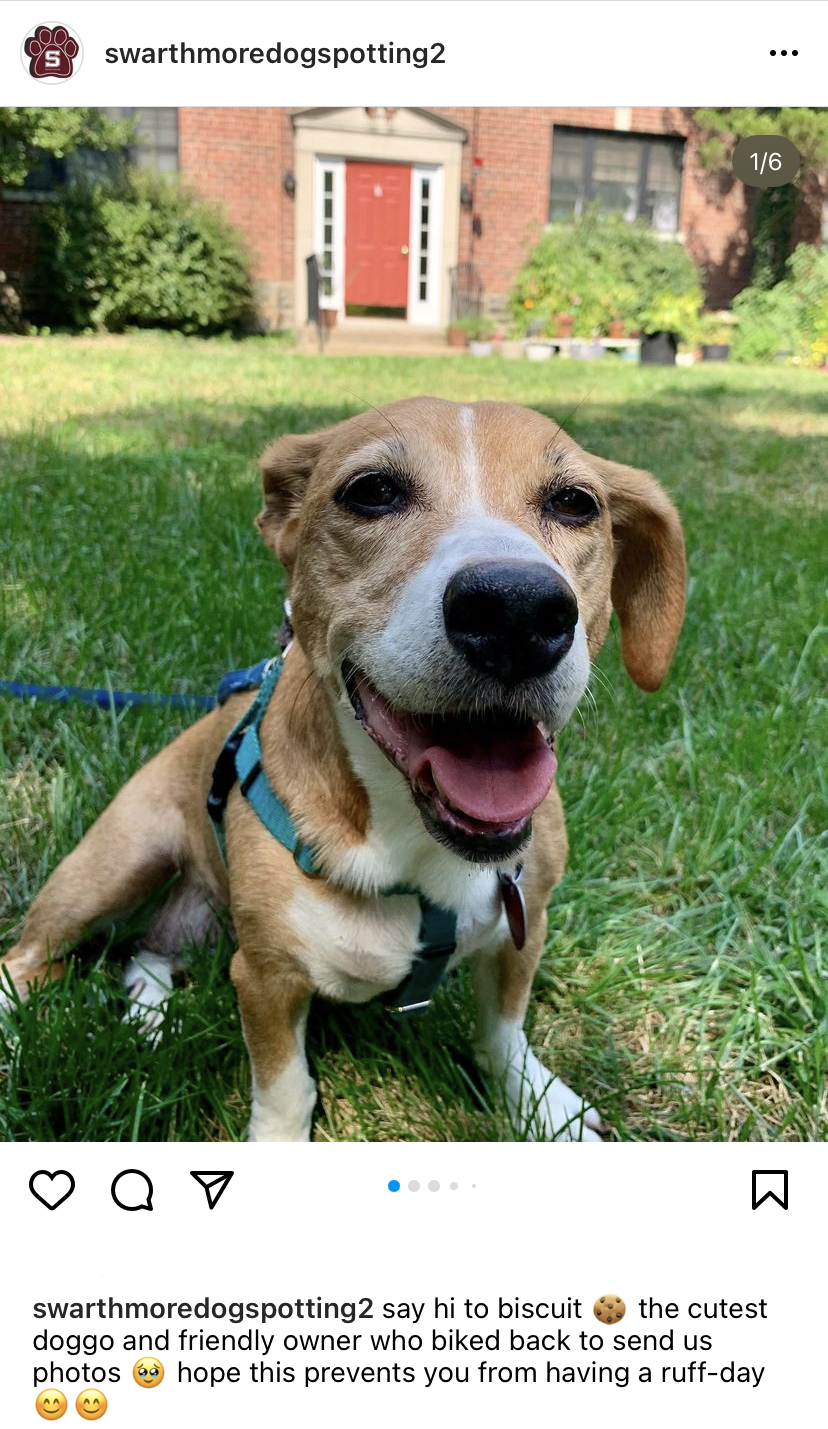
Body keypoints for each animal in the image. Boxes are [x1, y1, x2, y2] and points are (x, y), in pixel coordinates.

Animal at [0, 397, 686, 1143]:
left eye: (575, 502)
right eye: (372, 491)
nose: (517, 610)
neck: (416, 843)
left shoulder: (521, 928)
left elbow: (503, 1032)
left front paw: (539, 1102)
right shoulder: (265, 976)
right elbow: (285, 1089)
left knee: (147, 951)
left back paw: (150, 1014)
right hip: (114, 865)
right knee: (23, 961)